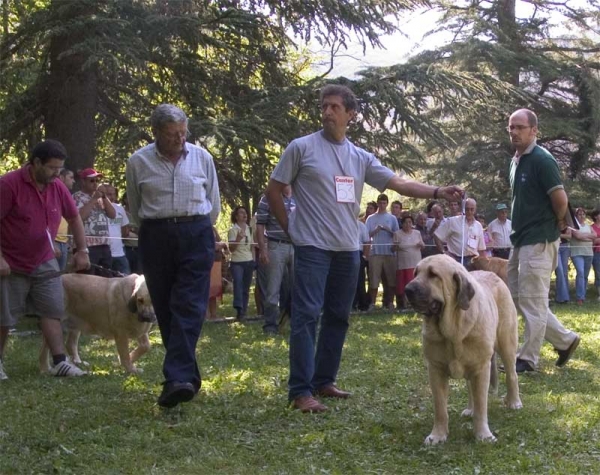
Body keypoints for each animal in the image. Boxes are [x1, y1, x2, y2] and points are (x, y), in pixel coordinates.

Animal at [406, 256, 524, 446]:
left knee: (511, 374)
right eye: (416, 273)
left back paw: (514, 402)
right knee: (470, 389)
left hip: (506, 344)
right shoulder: (435, 370)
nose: (407, 290)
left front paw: (483, 435)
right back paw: (470, 409)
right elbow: (440, 407)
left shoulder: (481, 369)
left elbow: (482, 404)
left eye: (433, 275)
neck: (453, 329)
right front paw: (438, 435)